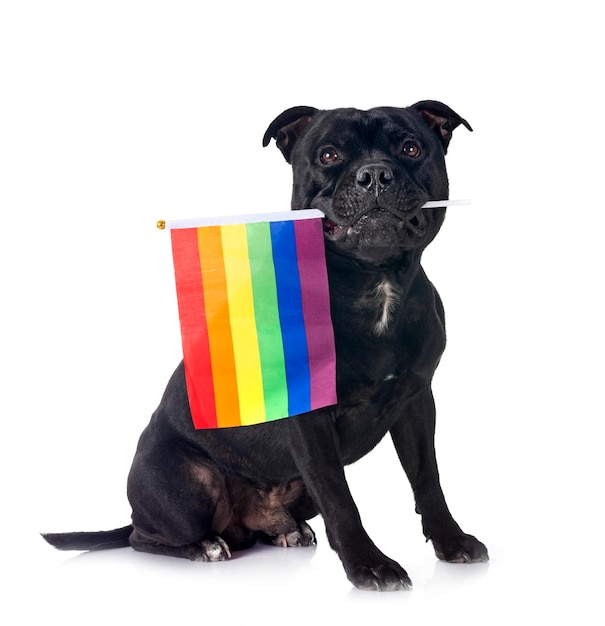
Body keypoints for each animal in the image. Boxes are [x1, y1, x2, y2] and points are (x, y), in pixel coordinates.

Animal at [43, 100, 486, 588]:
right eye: (329, 155)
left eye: (410, 148)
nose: (374, 174)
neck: (373, 283)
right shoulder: (310, 419)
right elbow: (340, 497)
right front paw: (368, 565)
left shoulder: (415, 400)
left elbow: (428, 478)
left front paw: (451, 541)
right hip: (188, 483)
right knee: (146, 538)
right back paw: (204, 546)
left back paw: (285, 531)